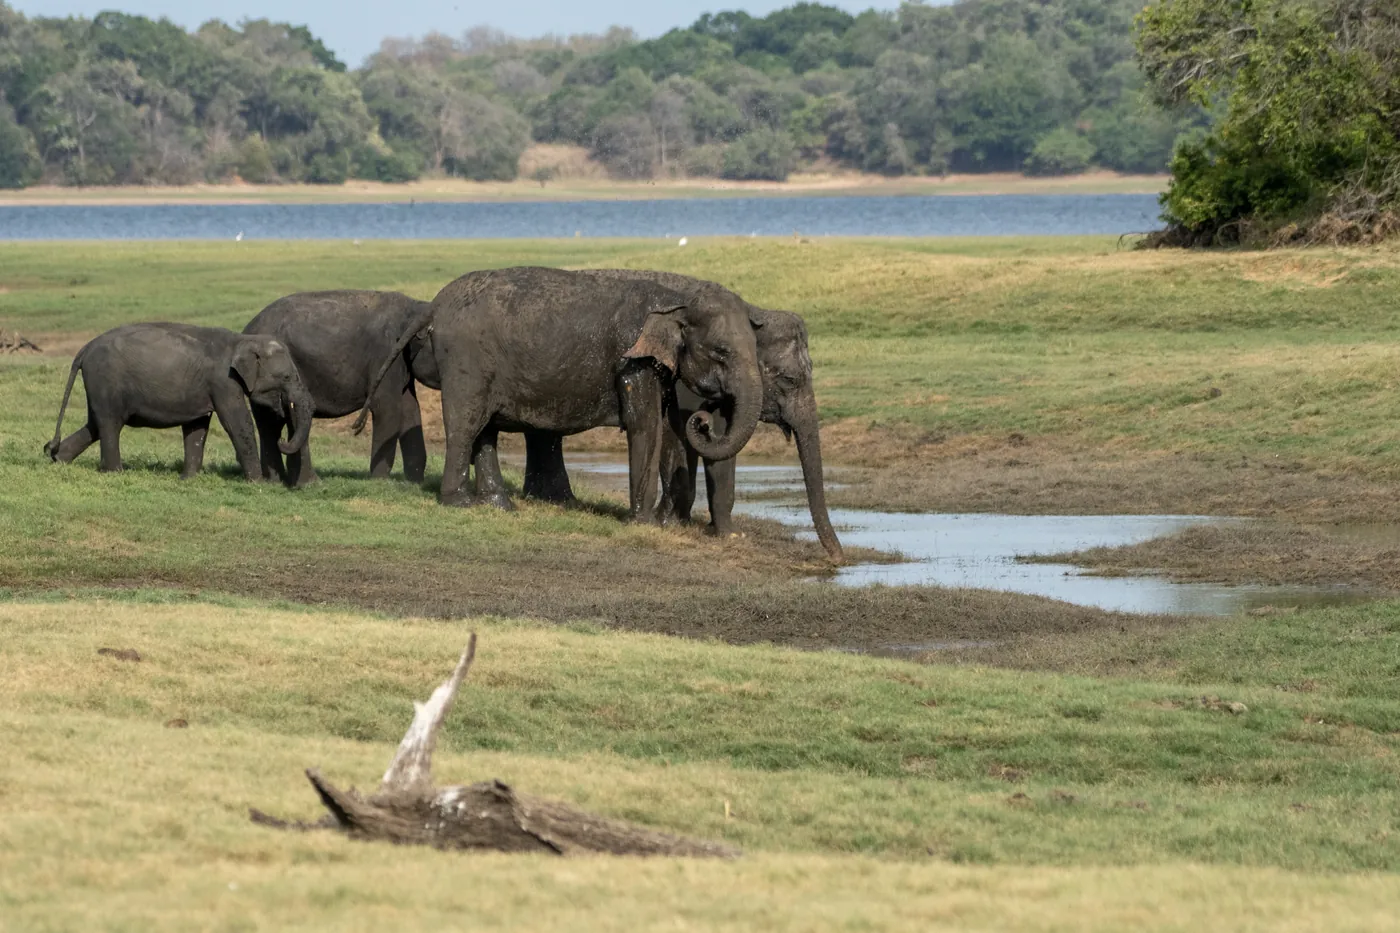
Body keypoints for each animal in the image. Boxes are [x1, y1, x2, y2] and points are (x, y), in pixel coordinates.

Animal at [43, 322, 312, 480]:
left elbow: (197, 426)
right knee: (110, 424)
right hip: (106, 380)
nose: (281, 440)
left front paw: (190, 479)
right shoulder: (223, 381)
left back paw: (59, 460)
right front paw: (258, 482)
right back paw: (114, 473)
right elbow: (236, 422)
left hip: (98, 385)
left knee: (95, 425)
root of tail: (84, 349)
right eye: (287, 377)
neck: (244, 340)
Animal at [243, 290, 436, 486]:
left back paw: (276, 481)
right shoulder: (385, 355)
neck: (415, 309)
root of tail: (247, 327)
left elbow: (410, 408)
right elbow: (387, 408)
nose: (356, 427)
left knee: (269, 425)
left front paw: (415, 482)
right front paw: (379, 483)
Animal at [355, 266, 764, 518]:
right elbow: (645, 426)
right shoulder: (632, 361)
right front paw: (642, 521)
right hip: (465, 359)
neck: (676, 298)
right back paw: (460, 504)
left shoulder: (655, 366)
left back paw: (500, 506)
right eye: (721, 352)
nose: (705, 420)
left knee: (484, 427)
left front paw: (658, 521)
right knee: (467, 424)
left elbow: (666, 427)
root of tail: (432, 307)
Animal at [520, 271, 843, 561]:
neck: (755, 311)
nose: (837, 559)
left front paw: (726, 534)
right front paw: (671, 522)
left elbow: (722, 441)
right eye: (790, 380)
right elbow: (676, 435)